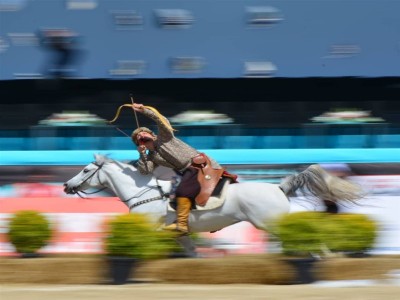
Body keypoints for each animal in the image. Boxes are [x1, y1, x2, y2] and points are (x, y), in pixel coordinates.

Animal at [64, 155, 364, 255]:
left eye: (85, 169)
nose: (67, 186)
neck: (144, 193)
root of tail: (278, 187)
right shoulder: (181, 235)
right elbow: (191, 252)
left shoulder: (150, 229)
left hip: (271, 223)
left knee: (302, 238)